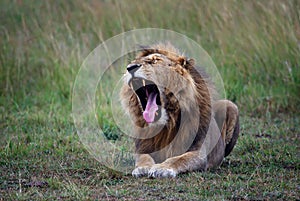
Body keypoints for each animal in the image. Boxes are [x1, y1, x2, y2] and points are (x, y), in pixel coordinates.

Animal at [119, 42, 239, 177]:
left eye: (156, 60)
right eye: (133, 62)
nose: (130, 67)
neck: (166, 126)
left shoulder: (198, 152)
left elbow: (178, 159)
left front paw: (162, 168)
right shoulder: (143, 147)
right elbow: (143, 157)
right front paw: (143, 168)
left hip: (230, 106)